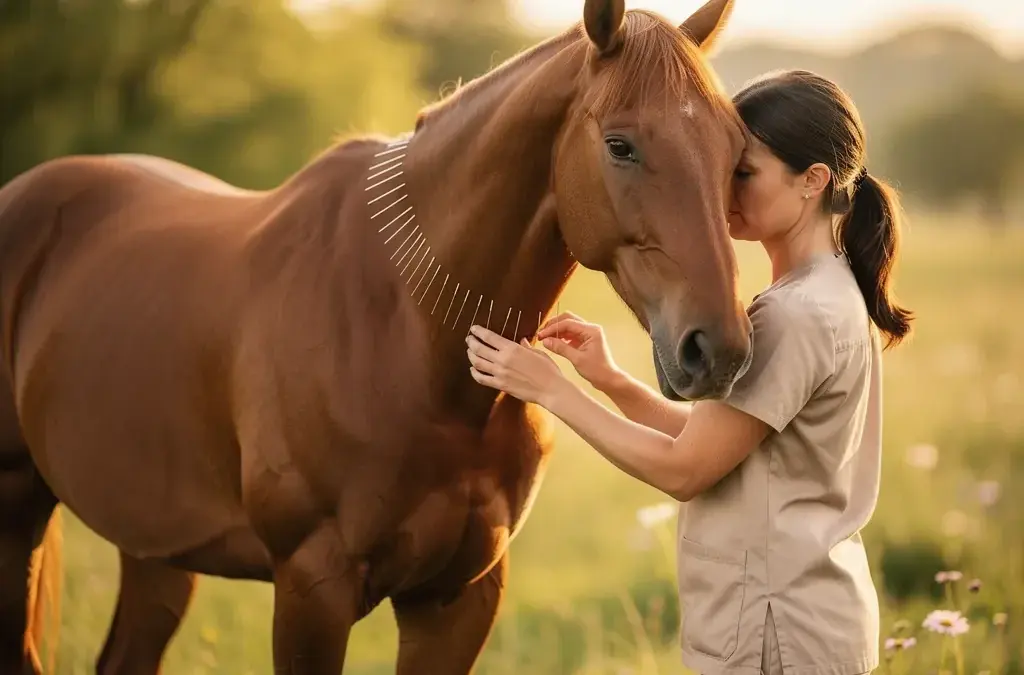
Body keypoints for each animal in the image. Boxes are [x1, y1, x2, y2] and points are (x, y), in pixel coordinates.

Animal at [0, 0, 753, 672]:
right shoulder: (312, 588)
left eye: (736, 155)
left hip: (156, 545)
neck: (409, 335)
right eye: (620, 145)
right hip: (19, 513)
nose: (717, 350)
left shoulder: (457, 598)